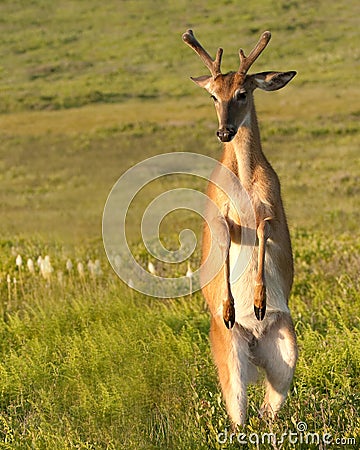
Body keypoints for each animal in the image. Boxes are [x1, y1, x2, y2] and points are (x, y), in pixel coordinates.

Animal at [183, 29, 298, 426]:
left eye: (242, 92)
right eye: (213, 95)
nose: (224, 131)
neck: (245, 183)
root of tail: (254, 344)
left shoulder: (271, 209)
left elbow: (263, 233)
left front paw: (260, 300)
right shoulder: (221, 214)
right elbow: (225, 243)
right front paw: (231, 306)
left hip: (286, 353)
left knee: (267, 410)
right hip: (229, 360)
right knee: (238, 414)